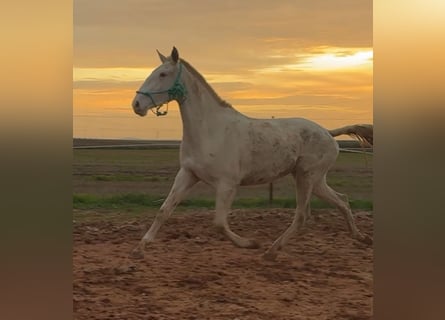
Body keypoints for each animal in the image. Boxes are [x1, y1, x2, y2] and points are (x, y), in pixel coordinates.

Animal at [129, 48, 372, 262]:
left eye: (163, 74)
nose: (136, 104)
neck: (210, 130)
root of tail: (328, 133)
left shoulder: (227, 184)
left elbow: (218, 223)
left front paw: (251, 243)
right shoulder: (188, 174)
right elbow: (164, 210)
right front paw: (139, 249)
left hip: (307, 177)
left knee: (303, 215)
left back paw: (271, 251)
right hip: (314, 180)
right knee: (341, 200)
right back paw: (361, 237)